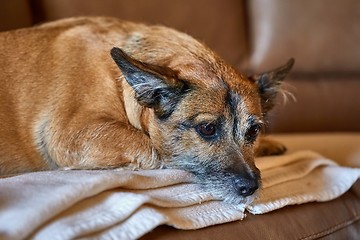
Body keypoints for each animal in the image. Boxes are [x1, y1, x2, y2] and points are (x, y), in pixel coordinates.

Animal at [0, 17, 292, 204]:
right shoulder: (71, 134)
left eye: (253, 131)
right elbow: (150, 146)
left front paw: (268, 144)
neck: (121, 81)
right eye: (207, 129)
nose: (251, 188)